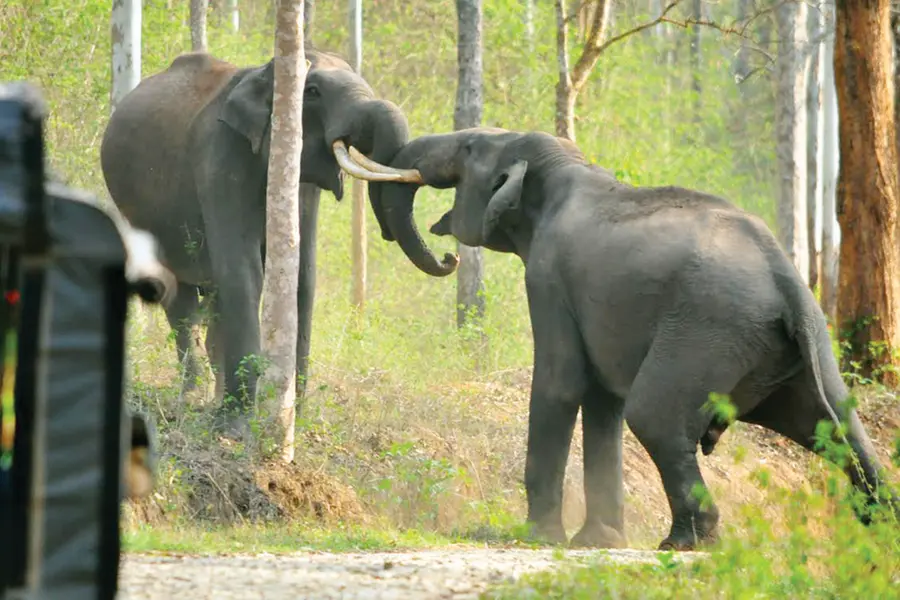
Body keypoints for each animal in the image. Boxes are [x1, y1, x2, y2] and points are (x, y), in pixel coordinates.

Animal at [100, 48, 449, 433]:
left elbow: (301, 278)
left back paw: (211, 398)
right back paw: (191, 399)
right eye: (312, 91)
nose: (450, 257)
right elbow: (243, 272)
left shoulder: (302, 186)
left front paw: (293, 417)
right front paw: (235, 428)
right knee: (181, 303)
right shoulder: (221, 159)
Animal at [369, 127, 899, 551]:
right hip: (794, 347)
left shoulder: (547, 278)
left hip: (708, 331)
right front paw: (597, 542)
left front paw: (539, 538)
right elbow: (603, 400)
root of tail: (785, 280)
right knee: (837, 426)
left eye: (468, 148)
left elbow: (561, 384)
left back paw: (684, 543)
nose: (448, 258)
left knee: (655, 415)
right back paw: (880, 530)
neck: (560, 162)